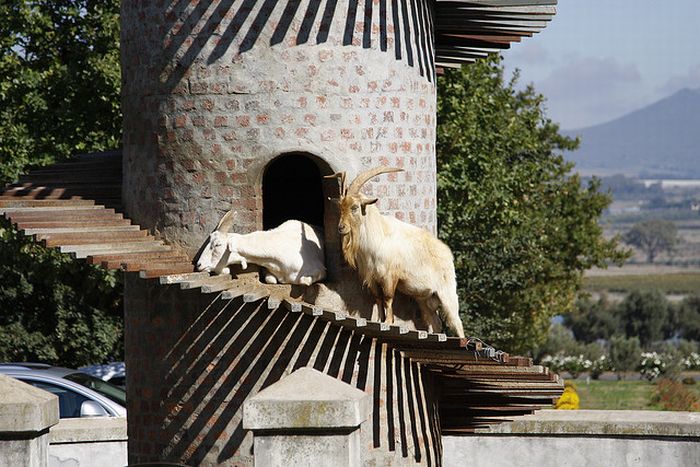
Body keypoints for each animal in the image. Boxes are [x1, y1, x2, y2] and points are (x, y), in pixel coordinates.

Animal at [326, 166, 464, 338]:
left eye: (355, 207)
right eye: (340, 207)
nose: (341, 228)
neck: (378, 236)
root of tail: (447, 254)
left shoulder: (389, 276)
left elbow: (388, 298)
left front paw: (388, 322)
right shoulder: (373, 277)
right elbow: (378, 298)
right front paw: (379, 320)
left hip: (447, 292)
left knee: (457, 323)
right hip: (425, 299)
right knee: (436, 323)